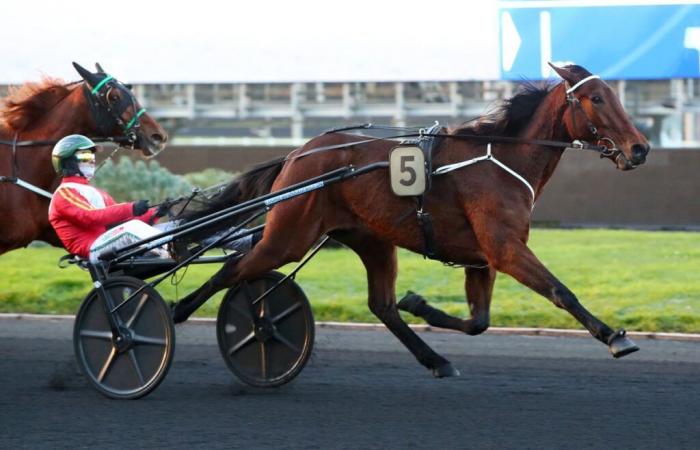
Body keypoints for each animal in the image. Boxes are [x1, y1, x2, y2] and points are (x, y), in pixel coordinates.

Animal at [174, 64, 652, 376]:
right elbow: (560, 291)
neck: (500, 159)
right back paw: (177, 312)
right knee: (232, 269)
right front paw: (615, 337)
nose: (640, 149)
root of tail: (296, 154)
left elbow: (478, 322)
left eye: (616, 96)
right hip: (288, 235)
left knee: (381, 305)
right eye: (596, 98)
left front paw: (419, 303)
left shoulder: (481, 258)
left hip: (372, 240)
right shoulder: (505, 248)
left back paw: (434, 359)